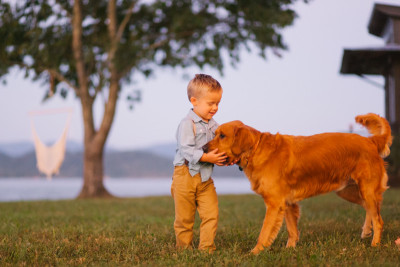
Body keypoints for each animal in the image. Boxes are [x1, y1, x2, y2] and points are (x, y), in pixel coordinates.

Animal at [205, 113, 392, 255]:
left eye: (222, 135)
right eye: (215, 134)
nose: (204, 149)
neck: (256, 150)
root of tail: (371, 141)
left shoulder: (275, 203)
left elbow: (264, 232)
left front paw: (255, 252)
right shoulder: (287, 202)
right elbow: (292, 229)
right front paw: (290, 249)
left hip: (365, 189)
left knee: (379, 219)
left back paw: (375, 244)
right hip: (348, 190)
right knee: (372, 209)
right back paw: (366, 230)